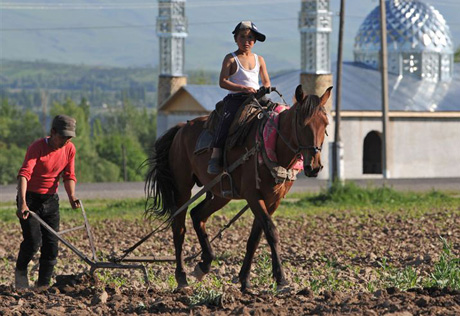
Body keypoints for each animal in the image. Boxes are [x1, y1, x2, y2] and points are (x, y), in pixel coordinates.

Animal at [146, 84, 330, 292]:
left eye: (325, 124)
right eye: (301, 123)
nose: (314, 167)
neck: (269, 145)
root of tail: (181, 128)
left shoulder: (272, 201)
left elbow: (255, 238)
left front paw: (245, 279)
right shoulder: (253, 196)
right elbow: (271, 232)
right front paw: (281, 279)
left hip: (221, 194)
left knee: (197, 215)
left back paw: (205, 263)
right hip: (182, 188)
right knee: (179, 228)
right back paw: (182, 277)